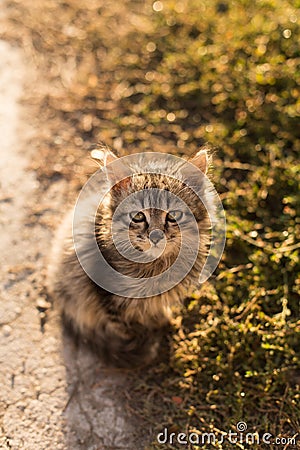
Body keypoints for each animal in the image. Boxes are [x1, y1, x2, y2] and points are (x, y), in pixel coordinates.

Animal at [47, 146, 213, 368]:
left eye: (173, 215)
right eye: (139, 216)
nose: (156, 236)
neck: (156, 266)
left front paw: (161, 320)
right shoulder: (107, 296)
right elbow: (127, 327)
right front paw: (144, 341)